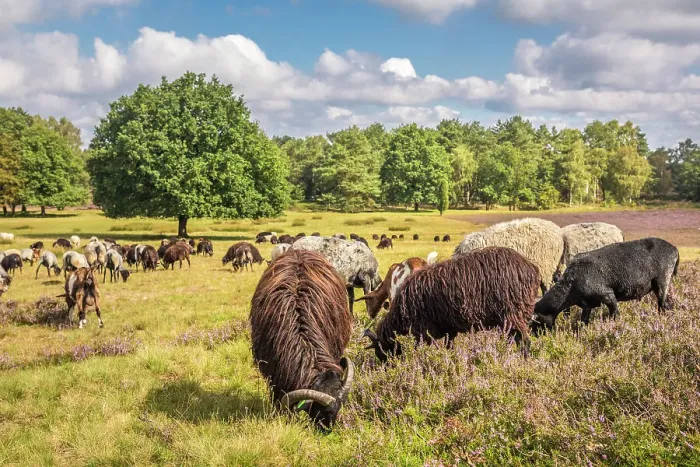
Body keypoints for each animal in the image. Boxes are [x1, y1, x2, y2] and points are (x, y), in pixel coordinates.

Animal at [364, 247, 540, 362]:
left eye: (381, 350)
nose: (389, 366)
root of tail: (531, 268)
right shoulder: (449, 329)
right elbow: (450, 347)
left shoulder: (424, 332)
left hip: (514, 313)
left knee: (525, 342)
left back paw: (522, 361)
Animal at [532, 238, 680, 333]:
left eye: (536, 322)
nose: (536, 336)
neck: (570, 287)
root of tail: (674, 249)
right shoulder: (587, 305)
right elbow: (583, 322)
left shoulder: (608, 296)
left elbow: (615, 315)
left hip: (663, 280)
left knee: (663, 305)